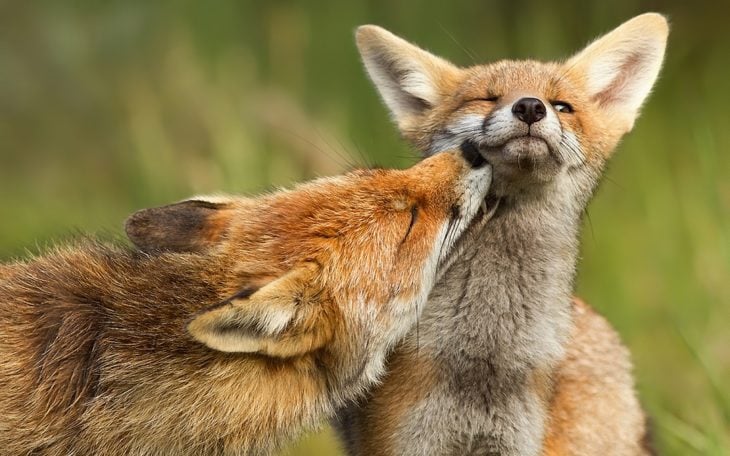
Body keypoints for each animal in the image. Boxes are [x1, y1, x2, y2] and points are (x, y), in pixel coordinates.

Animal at [336, 12, 664, 454]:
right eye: (487, 99)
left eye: (563, 106)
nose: (530, 107)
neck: (484, 359)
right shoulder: (403, 440)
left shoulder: (515, 441)